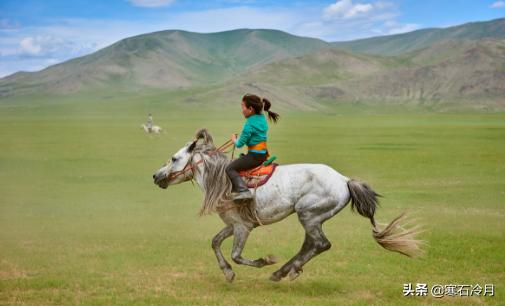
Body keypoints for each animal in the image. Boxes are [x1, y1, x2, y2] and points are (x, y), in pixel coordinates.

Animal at [153, 128, 422, 282]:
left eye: (174, 158)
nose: (156, 176)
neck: (221, 180)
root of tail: (344, 180)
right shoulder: (233, 224)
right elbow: (215, 242)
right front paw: (227, 273)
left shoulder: (243, 227)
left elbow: (236, 255)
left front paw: (264, 261)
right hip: (312, 218)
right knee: (311, 245)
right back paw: (284, 271)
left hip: (309, 214)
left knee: (321, 244)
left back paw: (281, 271)